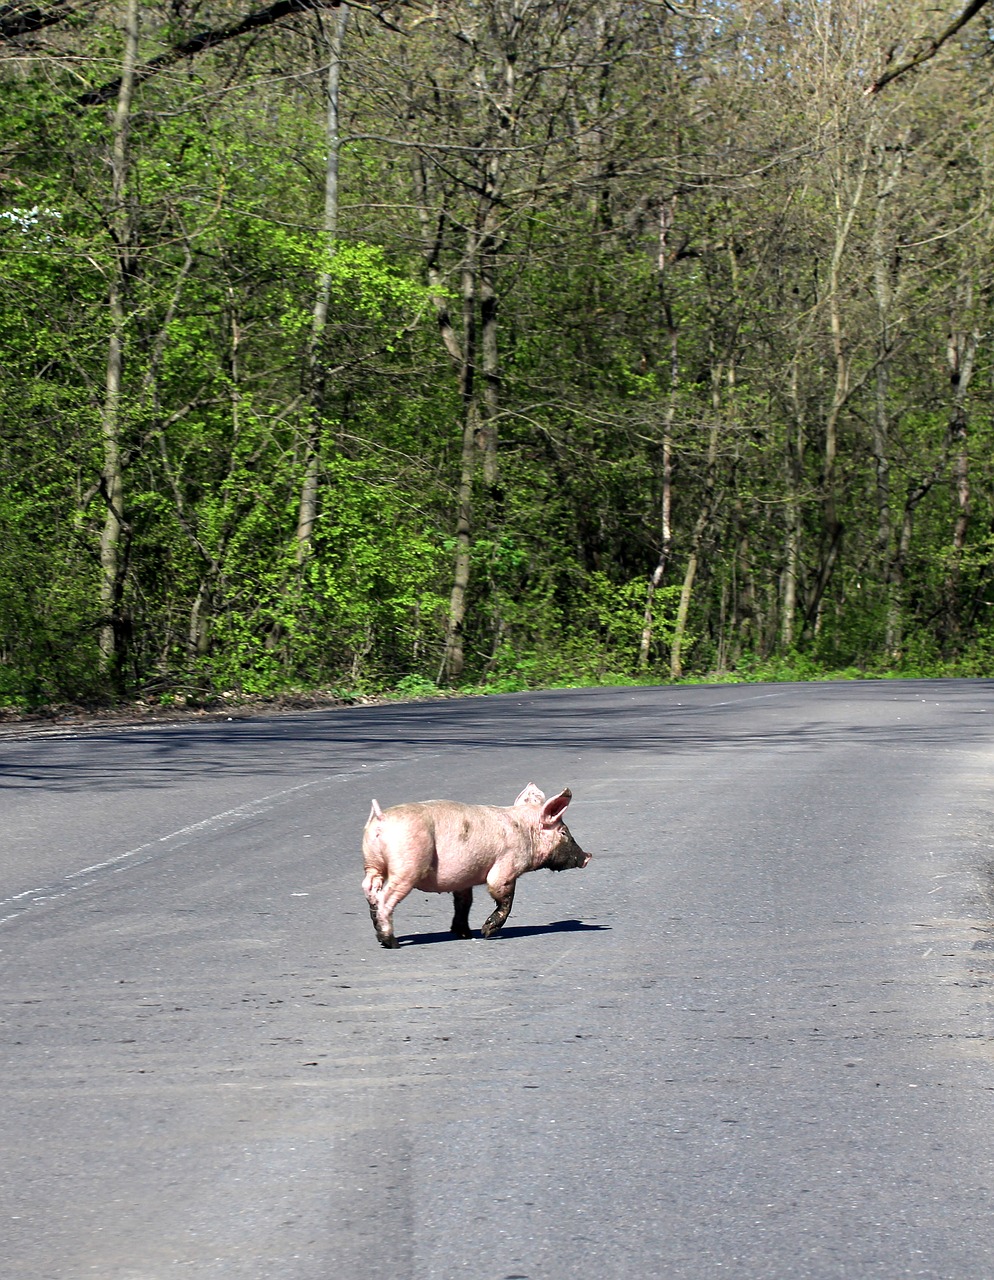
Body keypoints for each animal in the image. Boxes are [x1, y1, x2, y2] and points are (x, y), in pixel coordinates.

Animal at [358, 778, 585, 952]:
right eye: (563, 832)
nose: (587, 857)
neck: (525, 832)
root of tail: (381, 819)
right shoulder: (506, 866)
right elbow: (504, 897)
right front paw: (485, 933)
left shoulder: (463, 878)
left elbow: (464, 903)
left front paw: (464, 934)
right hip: (407, 866)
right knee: (385, 897)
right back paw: (391, 942)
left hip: (373, 863)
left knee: (370, 887)